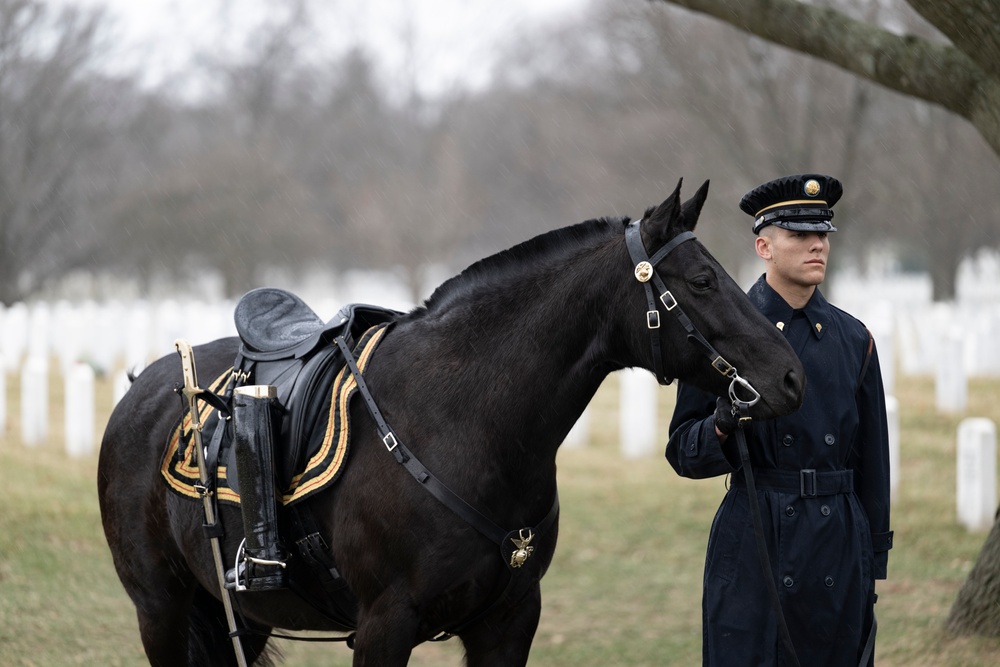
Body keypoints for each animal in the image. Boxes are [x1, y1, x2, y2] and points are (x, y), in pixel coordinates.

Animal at [99, 180, 804, 664]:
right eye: (703, 280)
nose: (791, 377)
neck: (466, 425)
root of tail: (141, 392)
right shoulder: (384, 627)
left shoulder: (507, 622)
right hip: (162, 610)